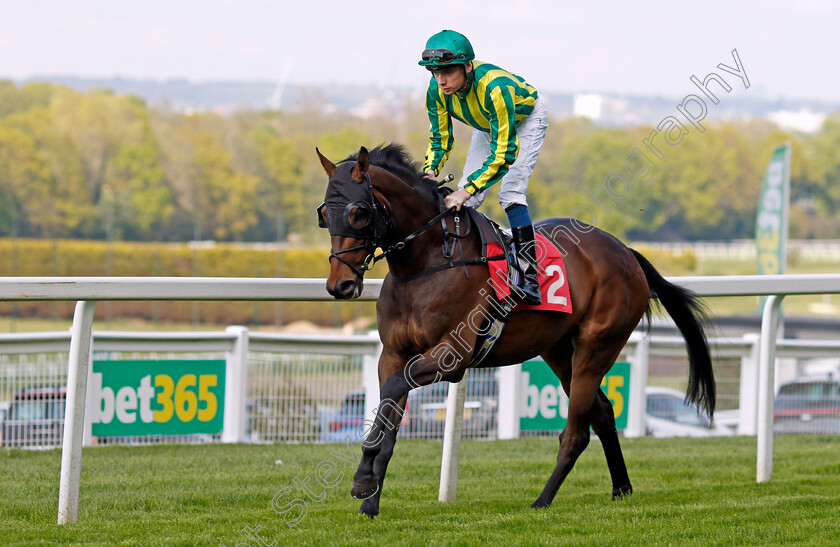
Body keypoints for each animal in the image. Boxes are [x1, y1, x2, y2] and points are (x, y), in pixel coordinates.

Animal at [316, 142, 716, 520]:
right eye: (324, 214)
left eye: (358, 212)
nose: (340, 285)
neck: (424, 264)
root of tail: (626, 252)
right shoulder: (393, 354)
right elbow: (389, 412)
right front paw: (370, 499)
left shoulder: (452, 357)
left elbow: (394, 389)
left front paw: (362, 480)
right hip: (559, 351)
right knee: (602, 412)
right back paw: (621, 487)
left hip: (597, 346)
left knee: (577, 431)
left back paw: (543, 500)